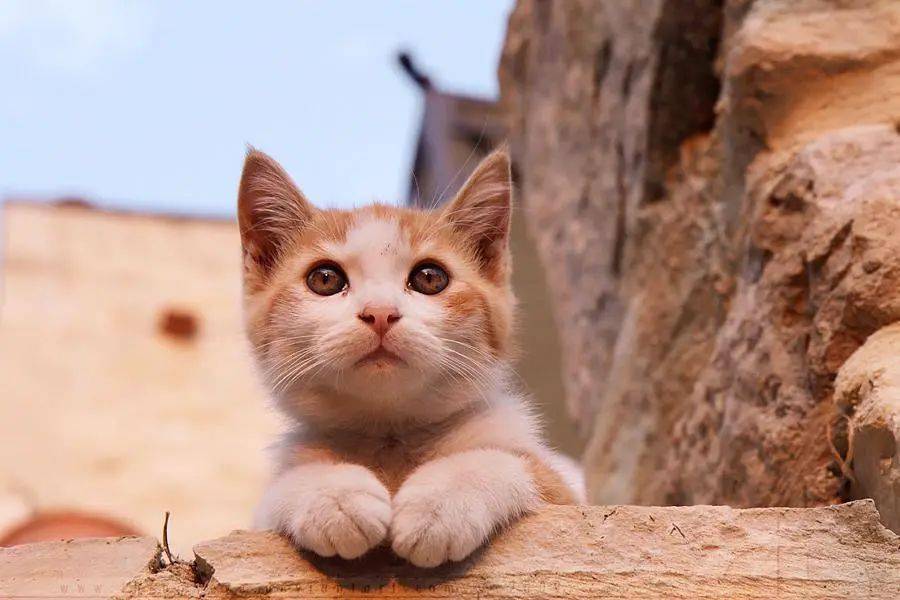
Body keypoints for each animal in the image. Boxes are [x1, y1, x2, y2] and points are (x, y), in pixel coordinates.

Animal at [241, 146, 584, 568]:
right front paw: (334, 494)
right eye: (324, 279)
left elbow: (519, 465)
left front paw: (441, 500)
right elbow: (272, 497)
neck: (391, 440)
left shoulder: (567, 499)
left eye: (430, 278)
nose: (380, 312)